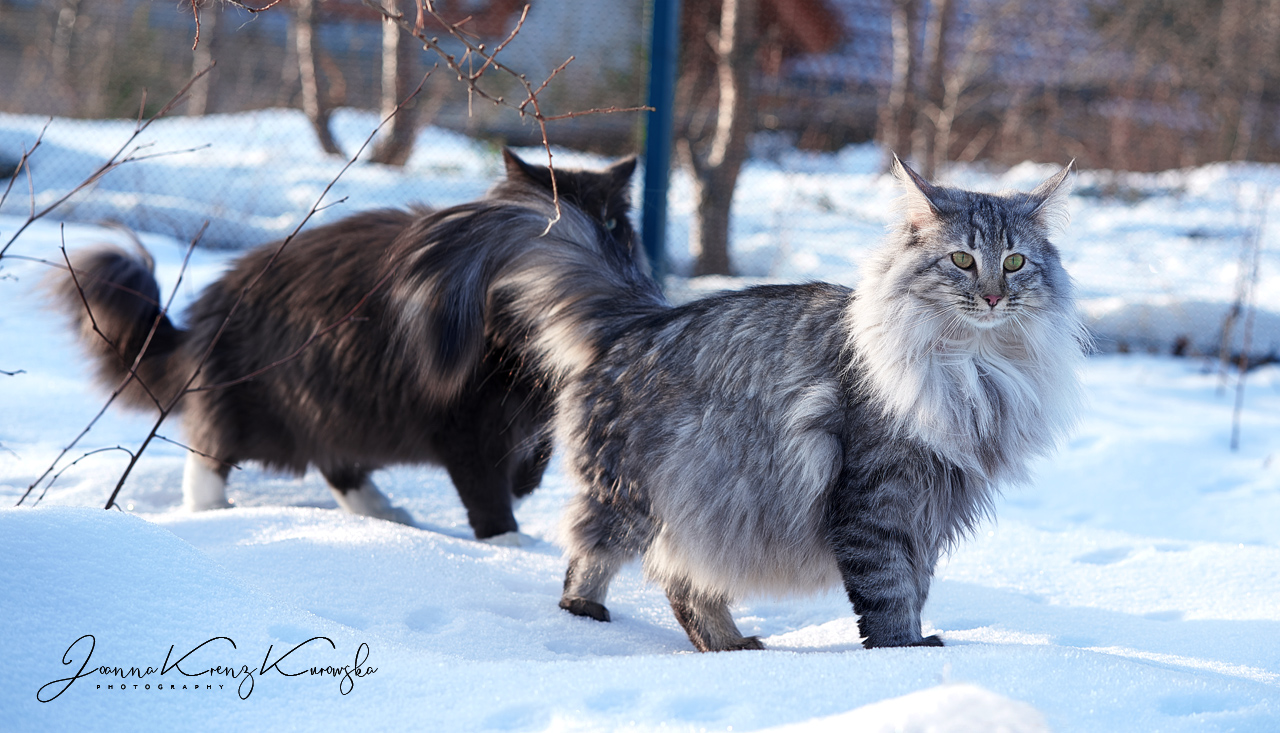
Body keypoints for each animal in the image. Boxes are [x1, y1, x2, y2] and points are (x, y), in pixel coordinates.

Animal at [48, 150, 639, 542]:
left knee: (339, 466)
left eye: (612, 222)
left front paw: (525, 488)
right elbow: (485, 491)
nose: (596, 249)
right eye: (555, 225)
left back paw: (384, 511)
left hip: (340, 404)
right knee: (208, 455)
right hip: (263, 406)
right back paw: (214, 511)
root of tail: (208, 311)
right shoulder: (465, 420)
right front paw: (509, 543)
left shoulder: (539, 403)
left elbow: (534, 457)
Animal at [510, 156, 1083, 651]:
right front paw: (902, 652)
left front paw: (916, 646)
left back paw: (731, 646)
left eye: (1015, 262)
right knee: (592, 554)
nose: (992, 297)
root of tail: (639, 320)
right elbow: (888, 591)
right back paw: (587, 614)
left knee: (684, 584)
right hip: (637, 495)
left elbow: (916, 586)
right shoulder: (876, 496)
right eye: (963, 260)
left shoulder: (930, 506)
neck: (975, 367)